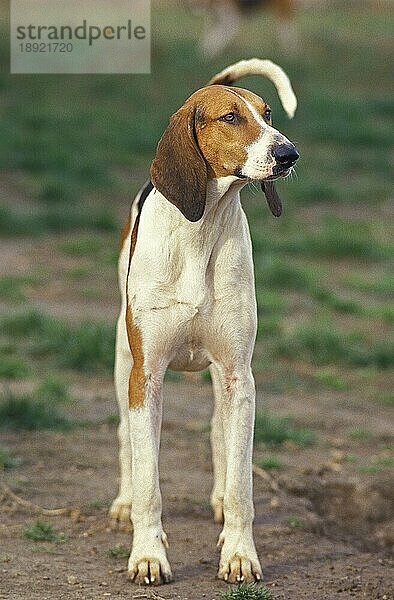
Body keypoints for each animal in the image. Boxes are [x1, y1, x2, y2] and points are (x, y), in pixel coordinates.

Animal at [108, 57, 298, 584]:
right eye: (230, 118)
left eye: (268, 114)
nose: (288, 152)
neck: (202, 228)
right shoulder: (145, 377)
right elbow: (150, 484)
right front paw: (147, 555)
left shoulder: (239, 377)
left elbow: (241, 486)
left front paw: (239, 553)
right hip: (122, 359)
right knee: (125, 439)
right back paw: (123, 502)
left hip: (224, 382)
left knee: (219, 432)